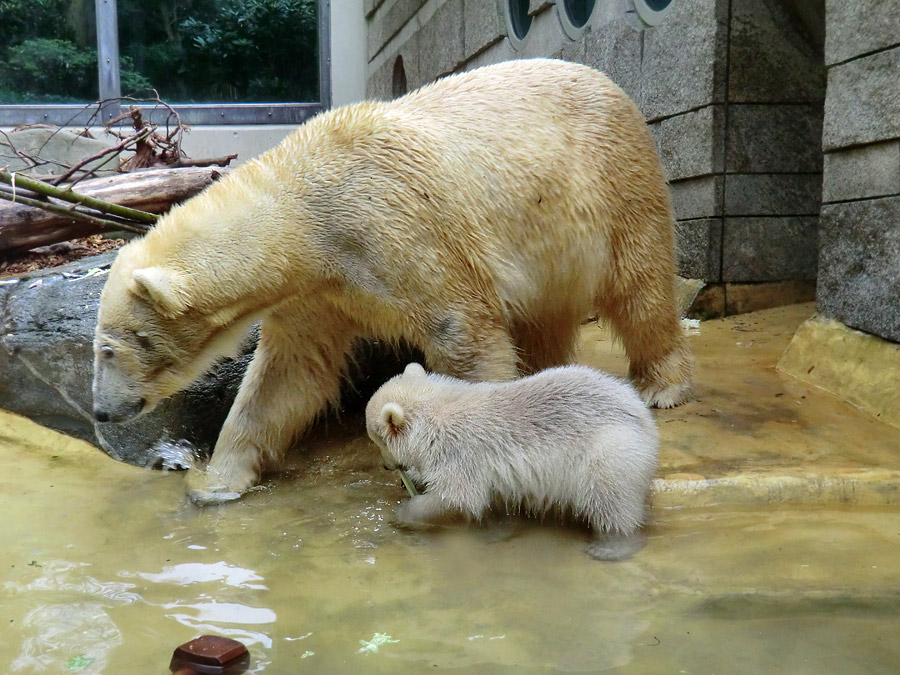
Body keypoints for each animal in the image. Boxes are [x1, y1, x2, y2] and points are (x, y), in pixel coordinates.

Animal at [91, 56, 692, 502]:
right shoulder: (315, 290)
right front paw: (217, 482)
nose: (102, 410)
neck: (308, 214)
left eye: (110, 349)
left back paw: (662, 384)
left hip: (613, 182)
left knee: (641, 285)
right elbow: (288, 373)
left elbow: (463, 332)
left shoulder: (401, 229)